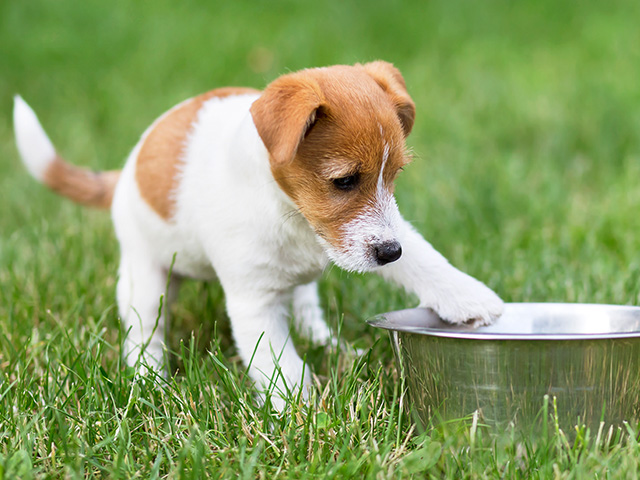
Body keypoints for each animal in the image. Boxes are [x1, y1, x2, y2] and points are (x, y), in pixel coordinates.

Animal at [12, 60, 504, 404]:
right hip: (144, 277)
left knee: (305, 304)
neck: (294, 217)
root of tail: (123, 174)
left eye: (395, 174)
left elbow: (422, 258)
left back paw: (327, 341)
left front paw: (468, 297)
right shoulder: (254, 301)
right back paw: (151, 382)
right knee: (144, 331)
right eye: (344, 181)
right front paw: (305, 411)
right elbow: (279, 362)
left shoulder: (373, 236)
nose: (388, 253)